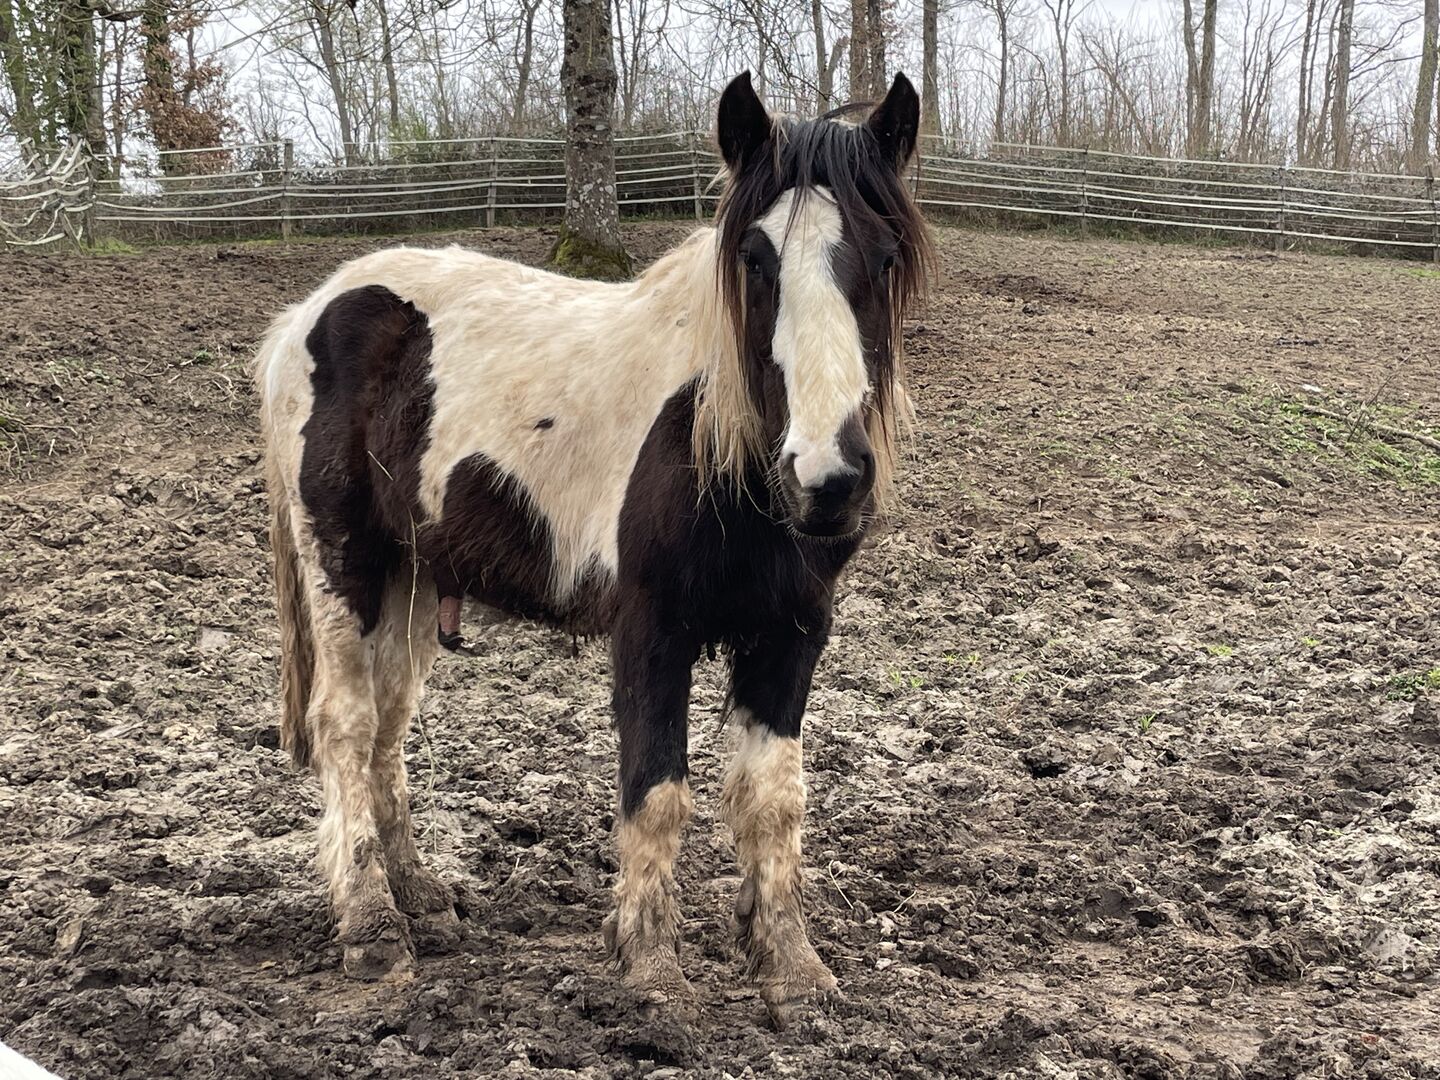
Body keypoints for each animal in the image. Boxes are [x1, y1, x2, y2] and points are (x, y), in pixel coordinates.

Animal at [255, 70, 930, 1025]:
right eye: (756, 260)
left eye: (884, 257)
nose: (827, 476)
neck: (715, 442)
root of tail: (310, 313)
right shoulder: (651, 628)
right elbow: (658, 792)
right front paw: (649, 966)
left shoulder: (792, 632)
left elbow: (772, 799)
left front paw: (790, 966)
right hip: (343, 564)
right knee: (346, 726)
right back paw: (372, 926)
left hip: (412, 579)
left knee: (389, 724)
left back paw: (421, 896)